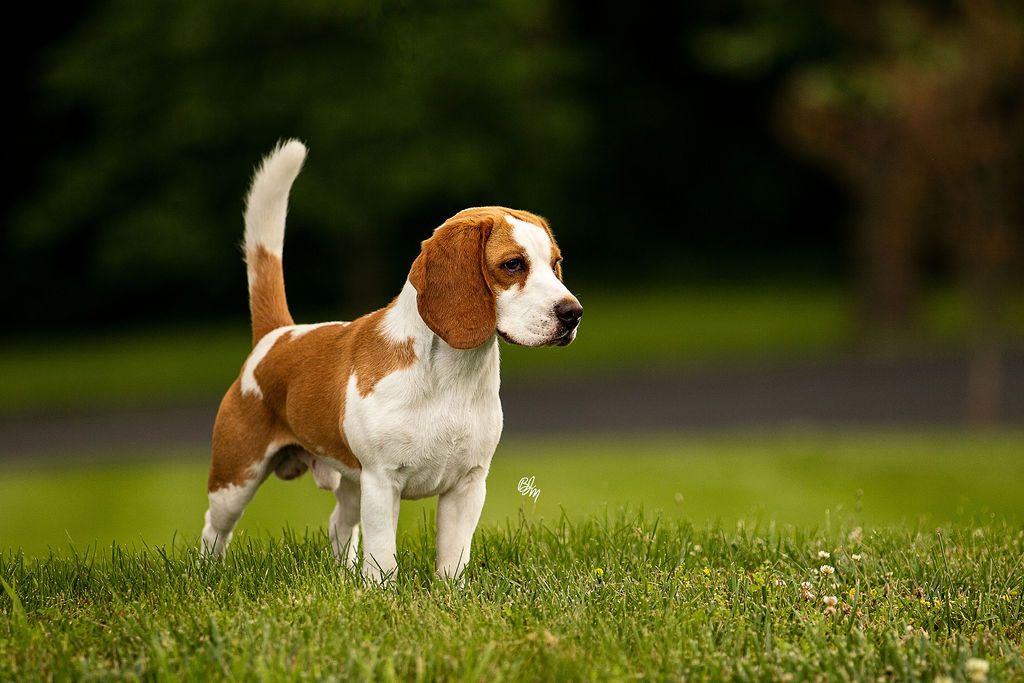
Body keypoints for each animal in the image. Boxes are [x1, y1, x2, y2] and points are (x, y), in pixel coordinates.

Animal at [200, 140, 585, 581]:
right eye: (513, 264)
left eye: (555, 264)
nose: (573, 313)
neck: (452, 377)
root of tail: (277, 335)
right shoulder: (382, 483)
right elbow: (382, 557)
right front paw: (380, 590)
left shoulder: (468, 486)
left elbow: (453, 559)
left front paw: (450, 591)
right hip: (236, 479)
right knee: (214, 529)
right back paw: (206, 574)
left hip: (349, 484)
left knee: (338, 524)